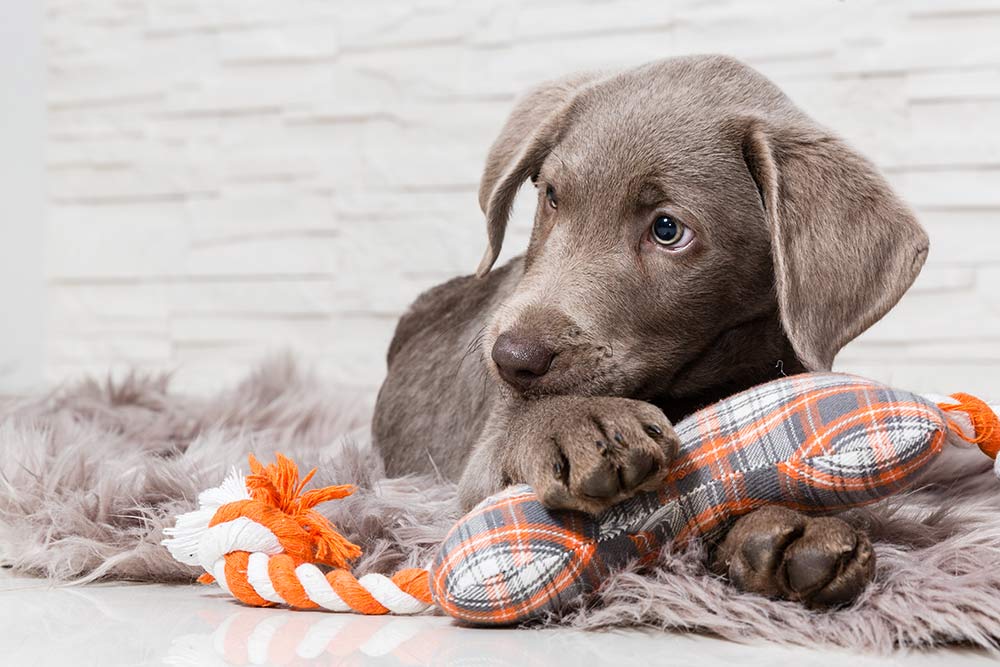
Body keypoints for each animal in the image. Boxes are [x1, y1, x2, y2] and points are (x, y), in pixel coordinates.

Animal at [372, 56, 924, 612]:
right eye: (551, 197)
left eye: (667, 230)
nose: (511, 357)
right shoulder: (479, 464)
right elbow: (519, 428)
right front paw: (574, 423)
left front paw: (795, 531)